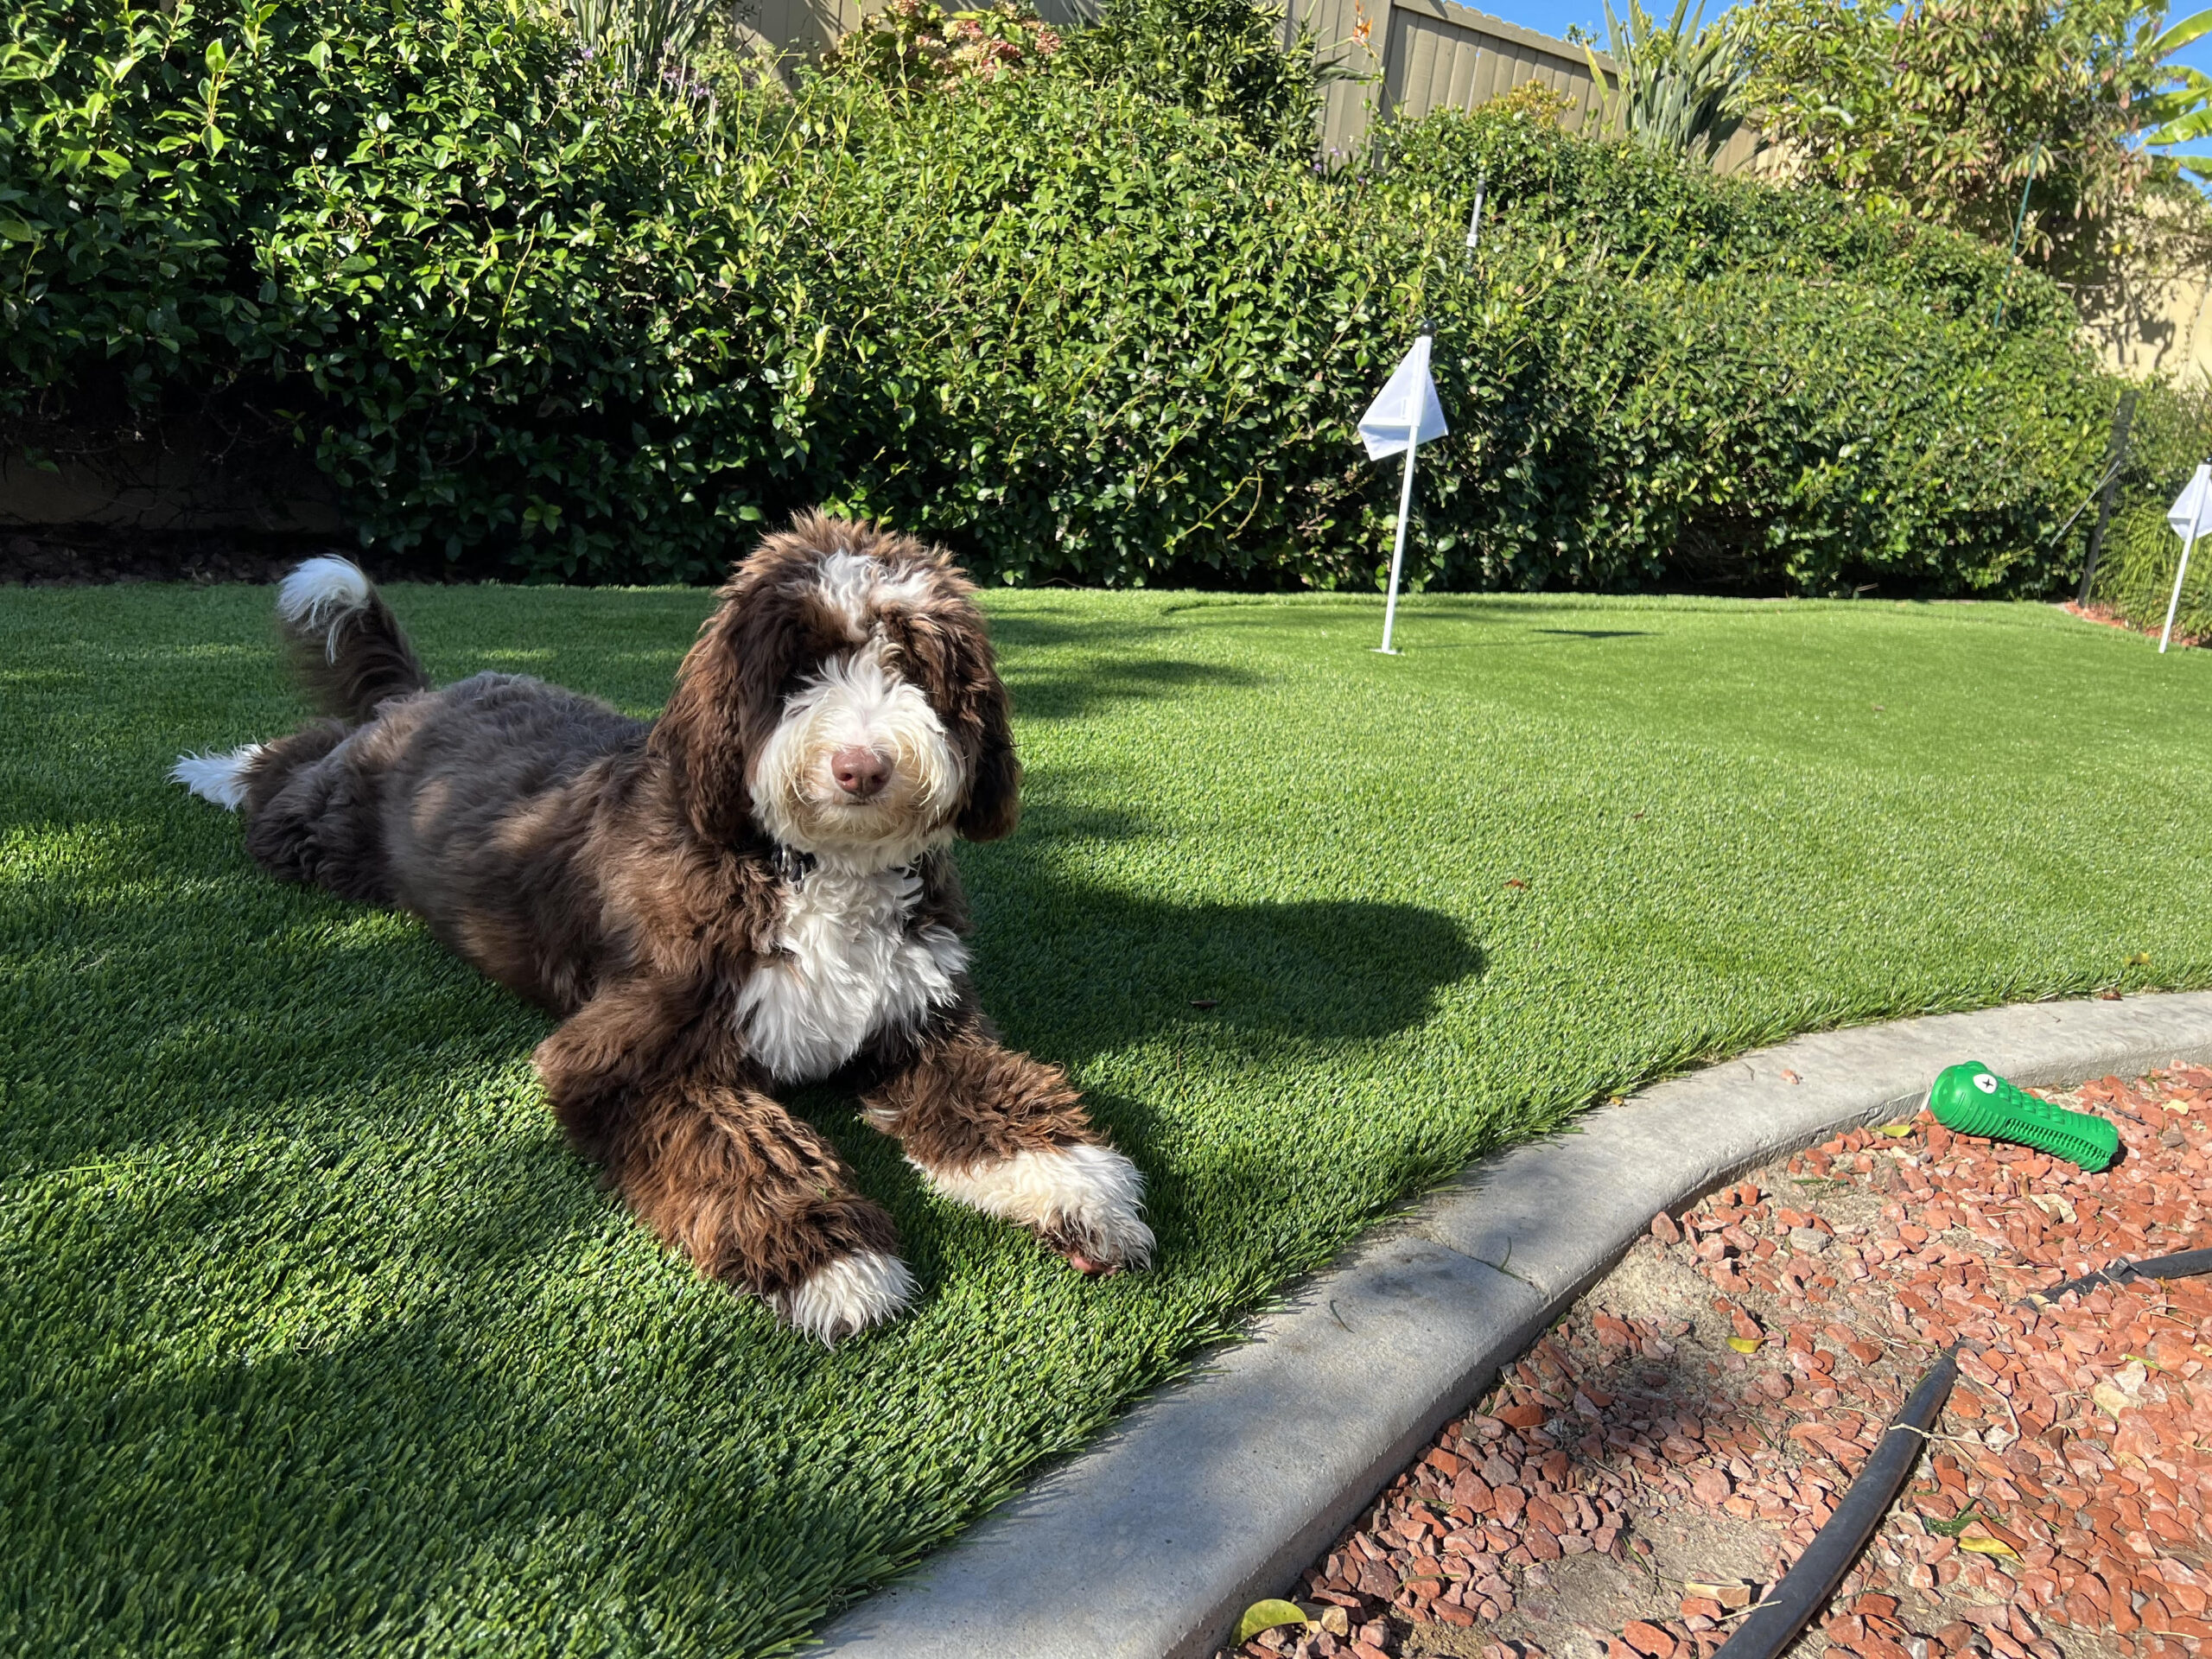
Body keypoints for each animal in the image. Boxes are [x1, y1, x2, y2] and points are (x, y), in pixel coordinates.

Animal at [172, 519, 1159, 1353]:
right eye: (797, 670)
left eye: (911, 663)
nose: (862, 767)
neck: (812, 868)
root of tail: (427, 697)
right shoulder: (630, 1051)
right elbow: (738, 1147)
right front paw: (830, 1262)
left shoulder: (923, 1020)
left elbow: (1000, 1095)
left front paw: (1079, 1186)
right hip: (327, 826)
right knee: (289, 773)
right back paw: (218, 768)